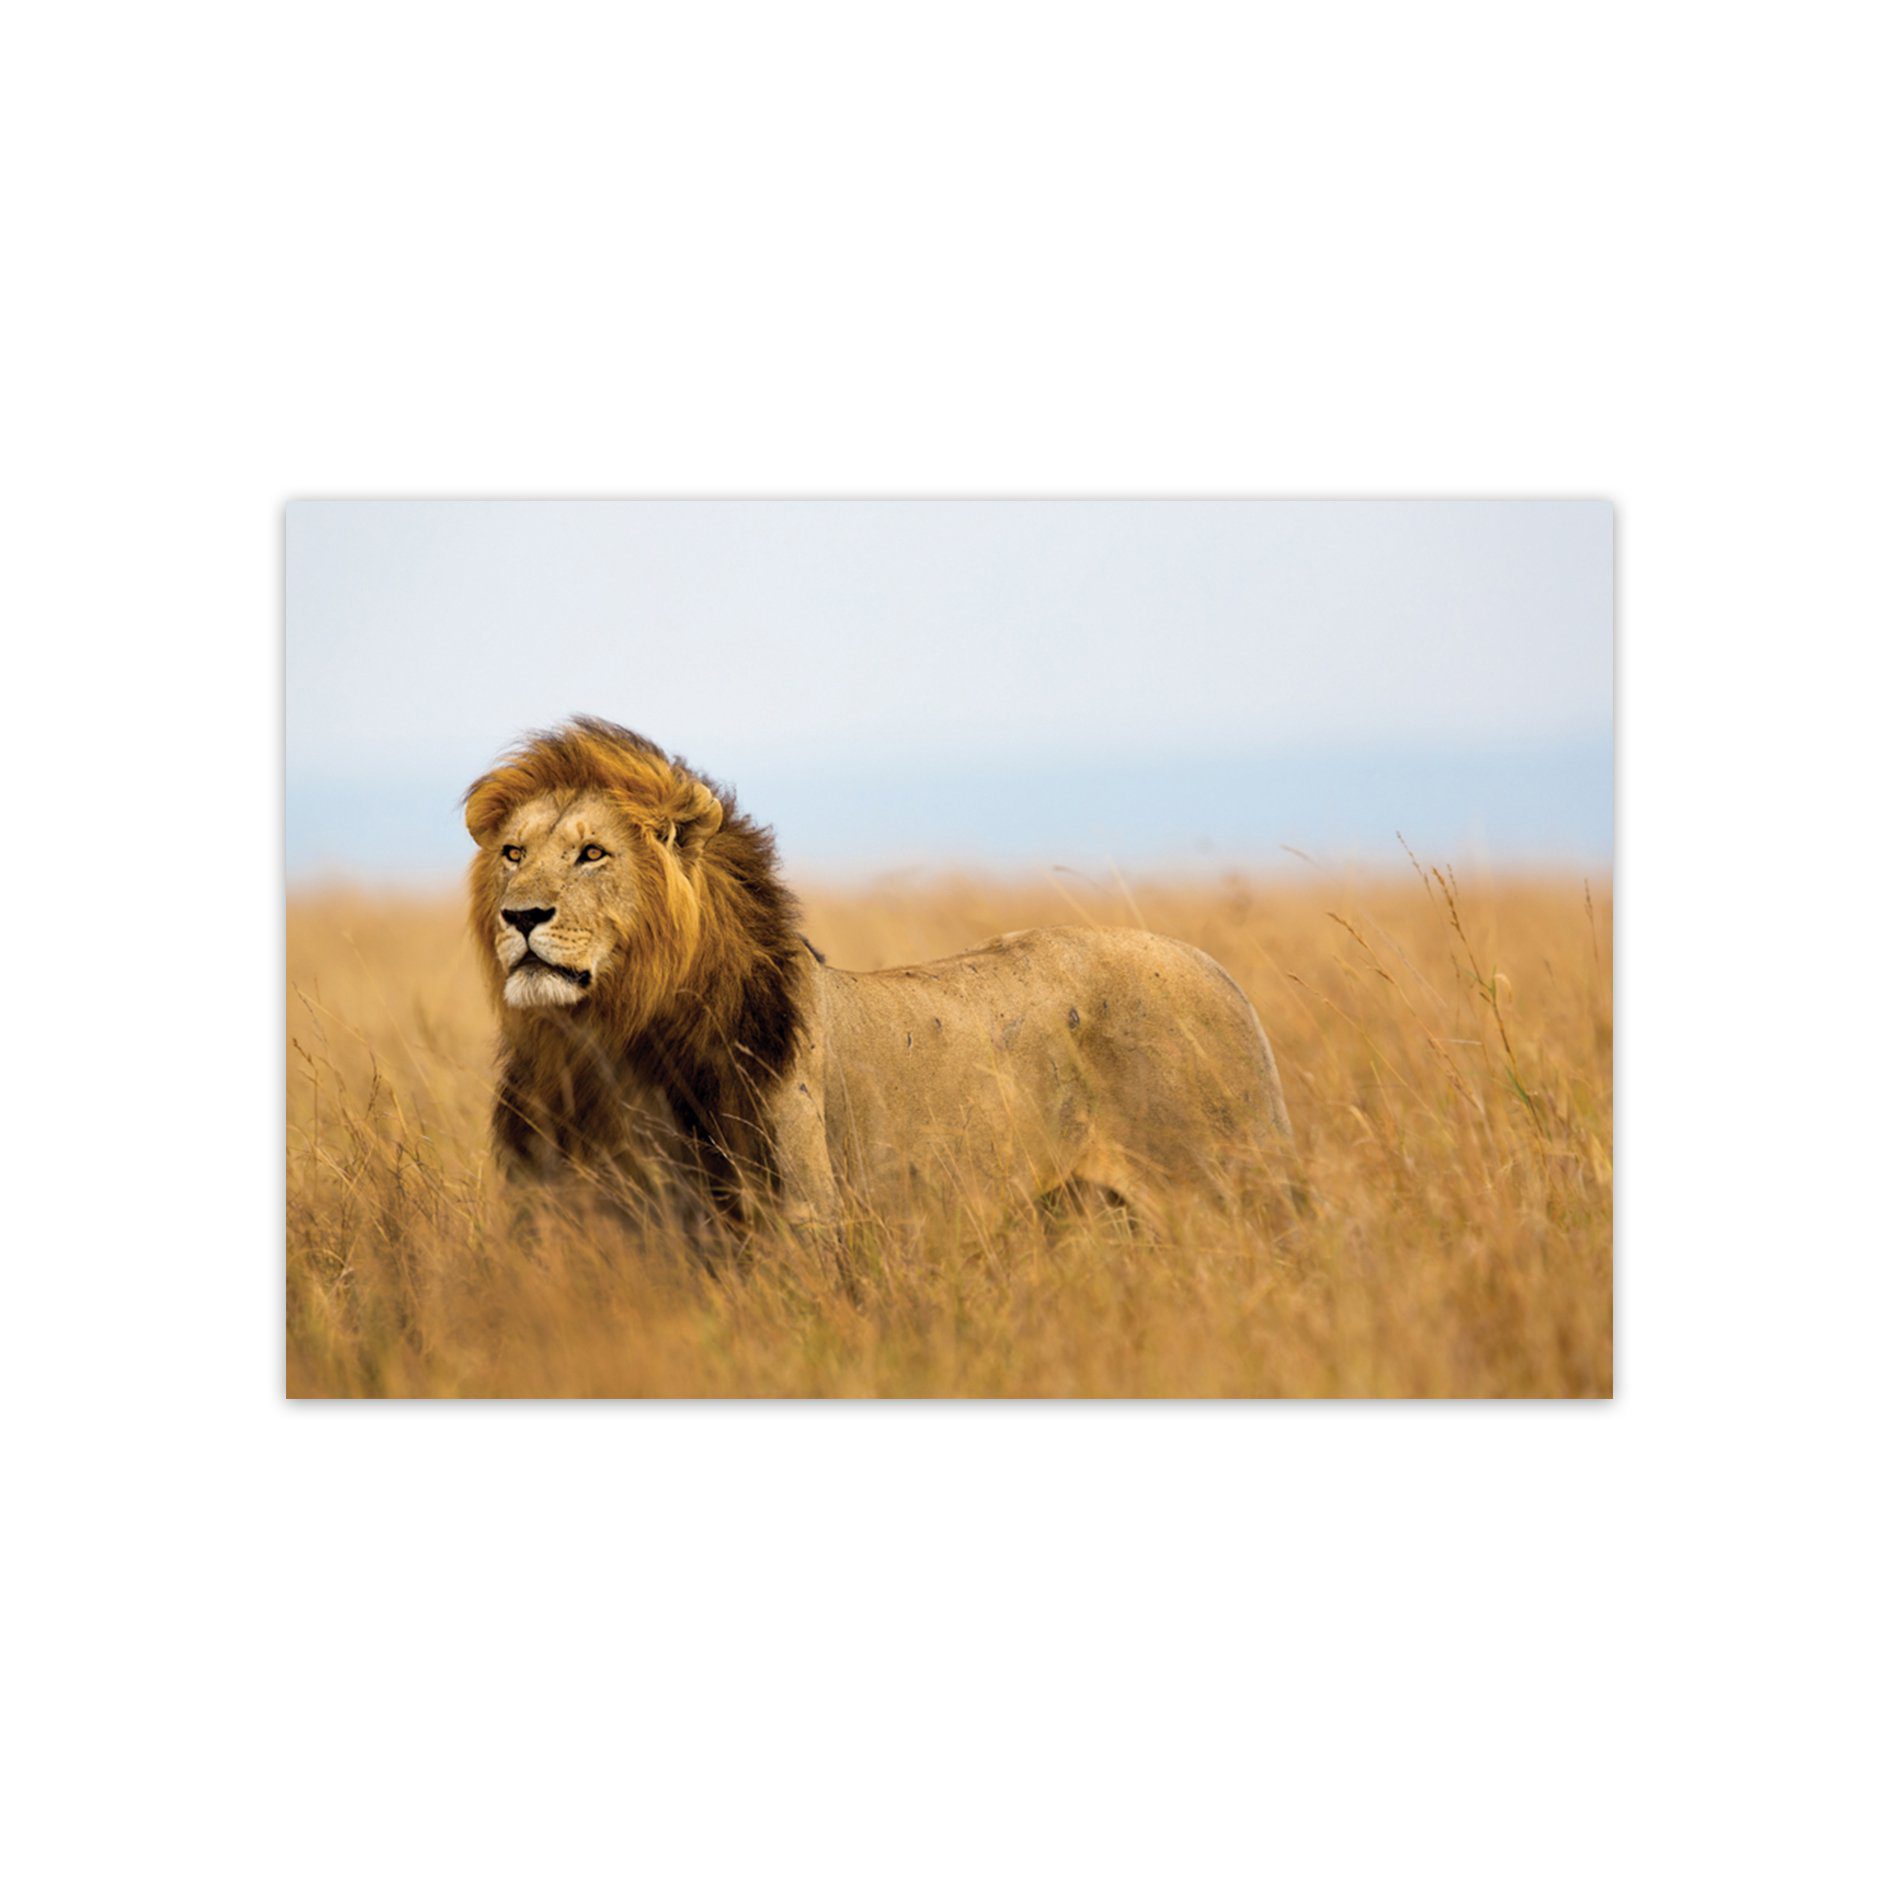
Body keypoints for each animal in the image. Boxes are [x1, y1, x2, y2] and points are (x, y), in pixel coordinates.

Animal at [464, 718, 1296, 1235]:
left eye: (591, 854)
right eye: (513, 853)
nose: (521, 916)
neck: (607, 1043)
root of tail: (1219, 972)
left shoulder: (796, 1223)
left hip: (1227, 1198)